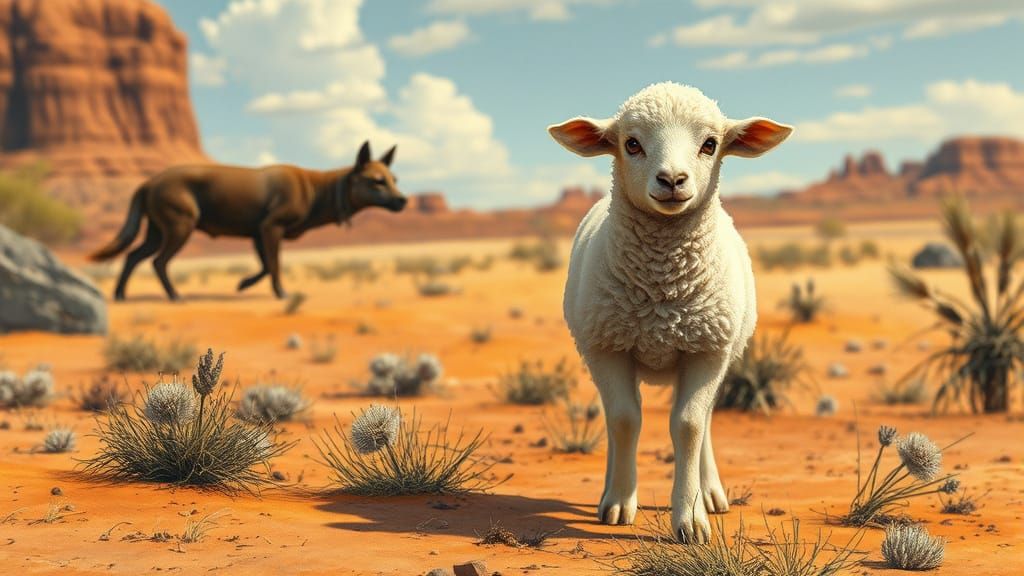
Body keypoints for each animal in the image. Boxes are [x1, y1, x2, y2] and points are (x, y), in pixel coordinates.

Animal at [548, 82, 791, 543]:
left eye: (710, 144)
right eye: (631, 143)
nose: (673, 180)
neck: (662, 290)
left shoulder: (707, 351)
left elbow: (689, 426)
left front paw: (691, 518)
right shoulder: (608, 348)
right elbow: (625, 420)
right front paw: (620, 502)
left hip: (718, 352)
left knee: (705, 420)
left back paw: (710, 492)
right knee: (615, 418)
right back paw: (609, 490)